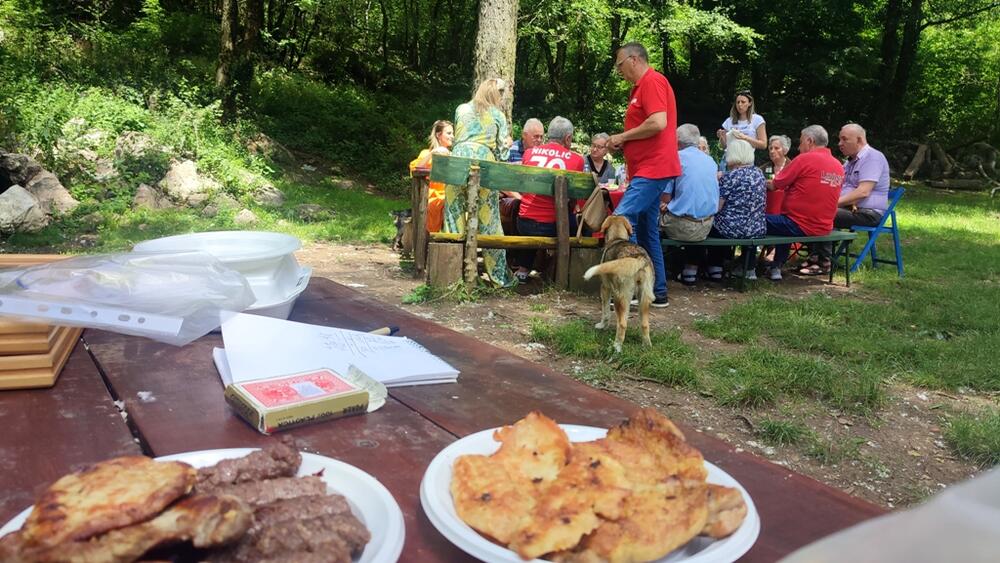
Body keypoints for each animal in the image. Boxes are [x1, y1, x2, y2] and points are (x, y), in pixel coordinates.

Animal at [584, 216, 652, 352]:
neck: (617, 238)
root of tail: (638, 258)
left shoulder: (605, 288)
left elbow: (605, 312)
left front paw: (602, 326)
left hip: (619, 297)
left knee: (622, 324)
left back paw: (616, 347)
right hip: (644, 299)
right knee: (645, 324)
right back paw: (647, 347)